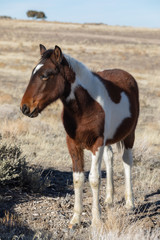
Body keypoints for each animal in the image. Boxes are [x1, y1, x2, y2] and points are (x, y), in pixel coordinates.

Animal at [21, 45, 139, 229]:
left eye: (45, 75)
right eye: (34, 71)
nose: (25, 107)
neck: (87, 106)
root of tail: (127, 76)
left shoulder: (97, 144)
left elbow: (94, 179)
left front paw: (96, 220)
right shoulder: (73, 144)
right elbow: (78, 179)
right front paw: (75, 219)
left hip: (129, 136)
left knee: (127, 162)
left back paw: (130, 203)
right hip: (109, 141)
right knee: (110, 158)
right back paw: (109, 199)